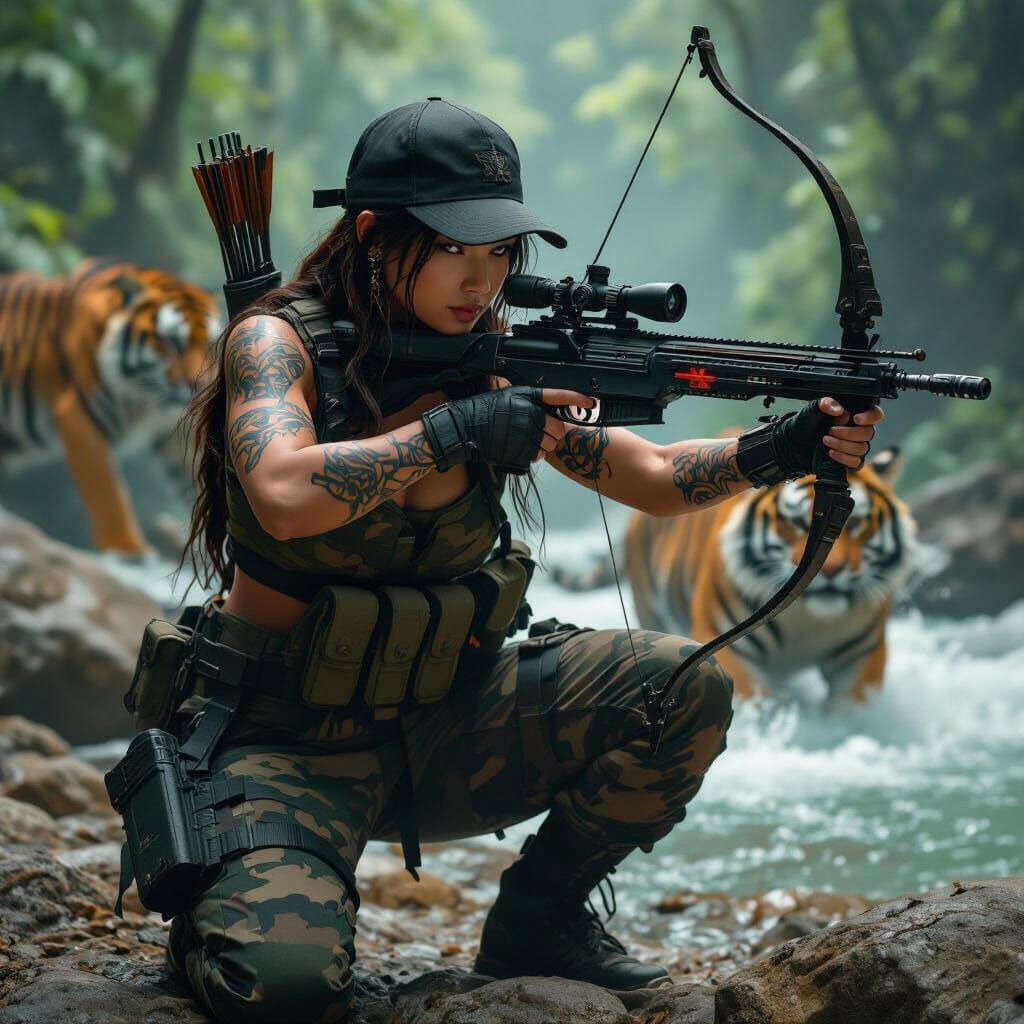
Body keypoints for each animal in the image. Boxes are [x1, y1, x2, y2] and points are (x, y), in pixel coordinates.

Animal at [0, 259, 221, 555]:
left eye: (210, 345)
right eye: (171, 343)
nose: (200, 385)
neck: (147, 398)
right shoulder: (80, 417)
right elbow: (108, 494)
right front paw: (128, 549)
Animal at [623, 447, 917, 705]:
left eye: (855, 523)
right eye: (797, 522)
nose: (831, 570)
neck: (807, 620)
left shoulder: (863, 655)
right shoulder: (728, 646)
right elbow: (754, 700)